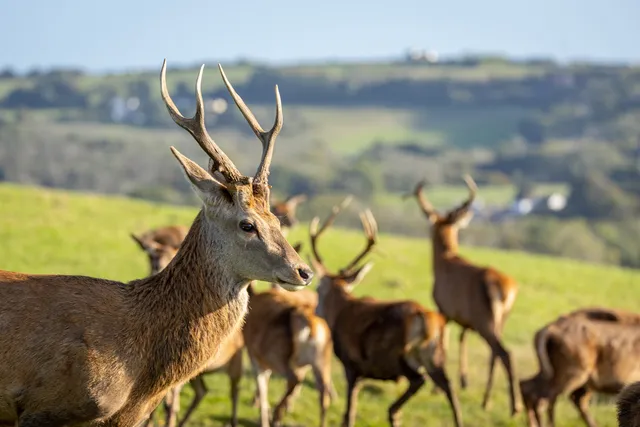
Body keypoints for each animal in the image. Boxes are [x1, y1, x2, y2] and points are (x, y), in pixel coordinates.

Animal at [243, 282, 334, 427]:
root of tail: (311, 325)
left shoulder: (255, 357)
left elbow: (262, 388)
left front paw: (263, 419)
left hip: (277, 356)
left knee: (294, 378)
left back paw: (276, 417)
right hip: (322, 359)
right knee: (323, 394)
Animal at [309, 197, 463, 427]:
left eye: (318, 288)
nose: (316, 311)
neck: (340, 311)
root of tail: (425, 318)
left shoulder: (352, 362)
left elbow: (349, 411)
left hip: (396, 355)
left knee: (419, 379)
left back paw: (393, 412)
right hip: (434, 354)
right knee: (448, 386)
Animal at [408, 175, 521, 415]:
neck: (444, 261)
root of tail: (505, 289)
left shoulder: (443, 308)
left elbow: (445, 341)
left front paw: (438, 388)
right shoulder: (465, 319)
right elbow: (462, 338)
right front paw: (463, 381)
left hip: (485, 320)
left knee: (504, 353)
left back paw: (513, 406)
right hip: (500, 320)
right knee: (495, 354)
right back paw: (487, 400)